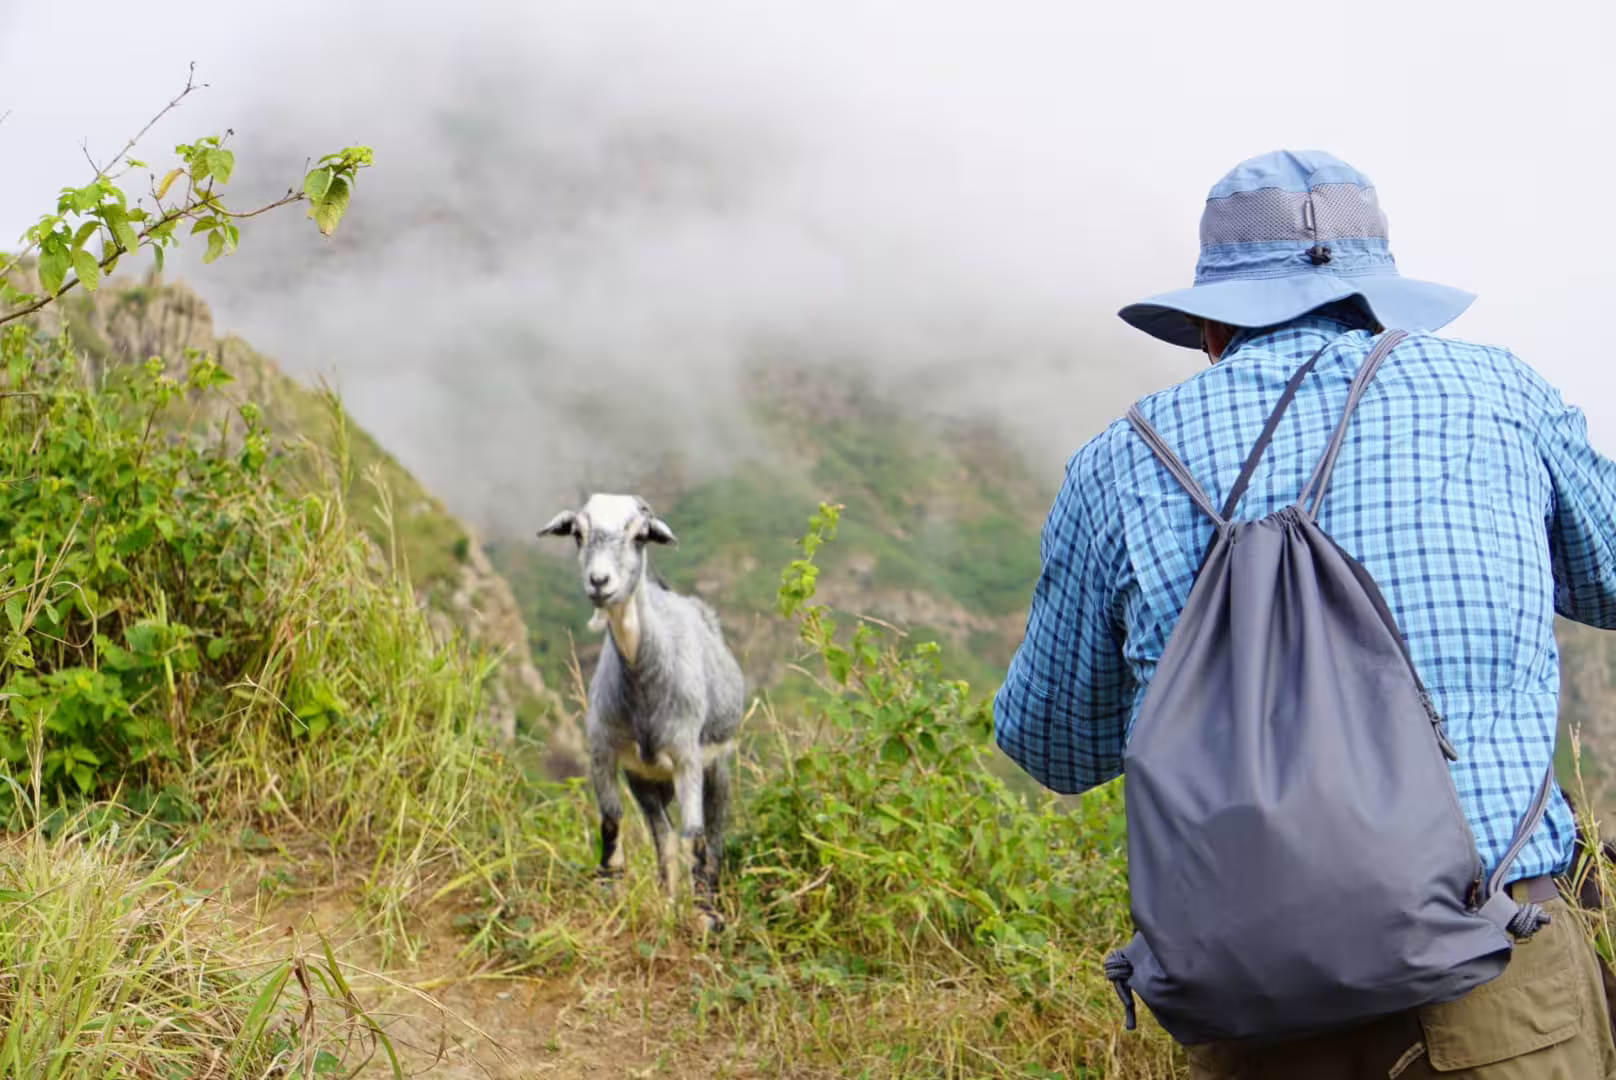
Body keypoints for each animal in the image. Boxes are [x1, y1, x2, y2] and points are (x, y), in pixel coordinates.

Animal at [537, 493, 744, 931]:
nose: (599, 582)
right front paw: (609, 892)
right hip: (645, 779)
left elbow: (696, 835)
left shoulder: (687, 756)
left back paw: (709, 896)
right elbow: (612, 821)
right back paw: (667, 902)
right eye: (577, 532)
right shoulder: (603, 751)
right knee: (663, 838)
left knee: (714, 832)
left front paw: (705, 915)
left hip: (717, 765)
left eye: (640, 535)